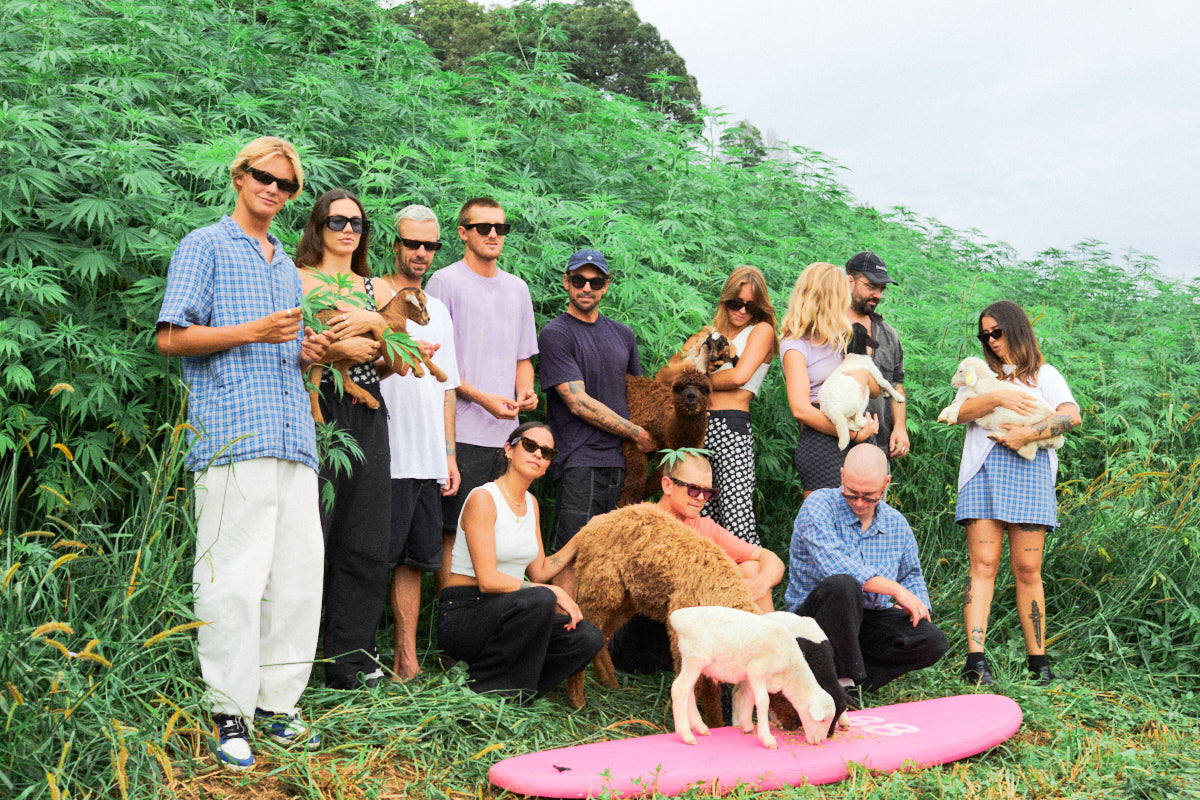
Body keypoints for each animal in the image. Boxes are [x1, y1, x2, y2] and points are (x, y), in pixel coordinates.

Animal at [667, 606, 835, 753]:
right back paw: (686, 735)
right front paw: (767, 739)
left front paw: (747, 726)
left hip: (692, 661)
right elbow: (763, 701)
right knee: (679, 688)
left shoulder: (752, 675)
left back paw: (700, 728)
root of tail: (677, 617)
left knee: (689, 690)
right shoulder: (758, 670)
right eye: (822, 720)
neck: (789, 668)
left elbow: (750, 698)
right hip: (696, 658)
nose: (820, 741)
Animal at [931, 357, 1065, 462]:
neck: (984, 381)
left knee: (1029, 450)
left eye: (960, 371)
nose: (952, 382)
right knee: (1030, 452)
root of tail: (1058, 440)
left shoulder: (982, 395)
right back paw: (998, 436)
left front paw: (949, 414)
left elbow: (965, 395)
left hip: (1029, 425)